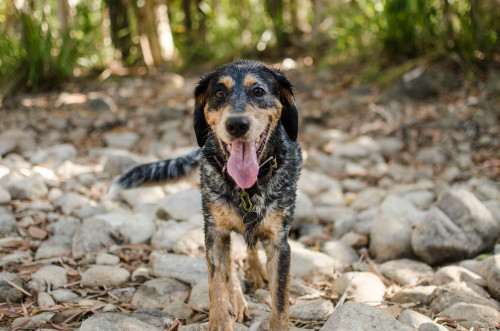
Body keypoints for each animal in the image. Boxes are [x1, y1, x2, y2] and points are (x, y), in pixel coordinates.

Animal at [113, 60, 300, 331]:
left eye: (258, 91)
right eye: (219, 93)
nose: (236, 124)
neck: (247, 189)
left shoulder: (279, 244)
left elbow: (280, 303)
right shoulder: (214, 233)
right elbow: (217, 282)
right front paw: (221, 319)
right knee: (230, 267)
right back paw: (238, 298)